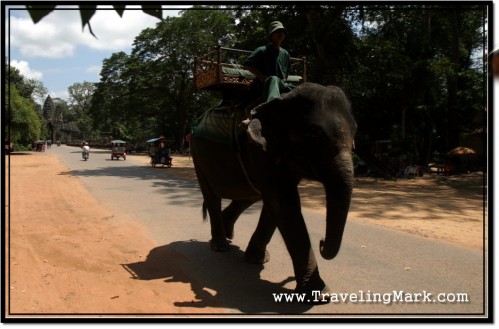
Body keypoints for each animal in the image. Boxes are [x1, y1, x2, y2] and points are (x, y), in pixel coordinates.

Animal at [189, 81, 358, 298]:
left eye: (354, 134)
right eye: (312, 134)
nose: (321, 242)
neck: (282, 99)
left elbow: (276, 202)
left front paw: (256, 260)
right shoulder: (258, 149)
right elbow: (283, 202)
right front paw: (319, 294)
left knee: (250, 193)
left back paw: (228, 232)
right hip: (197, 153)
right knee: (212, 195)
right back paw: (220, 246)